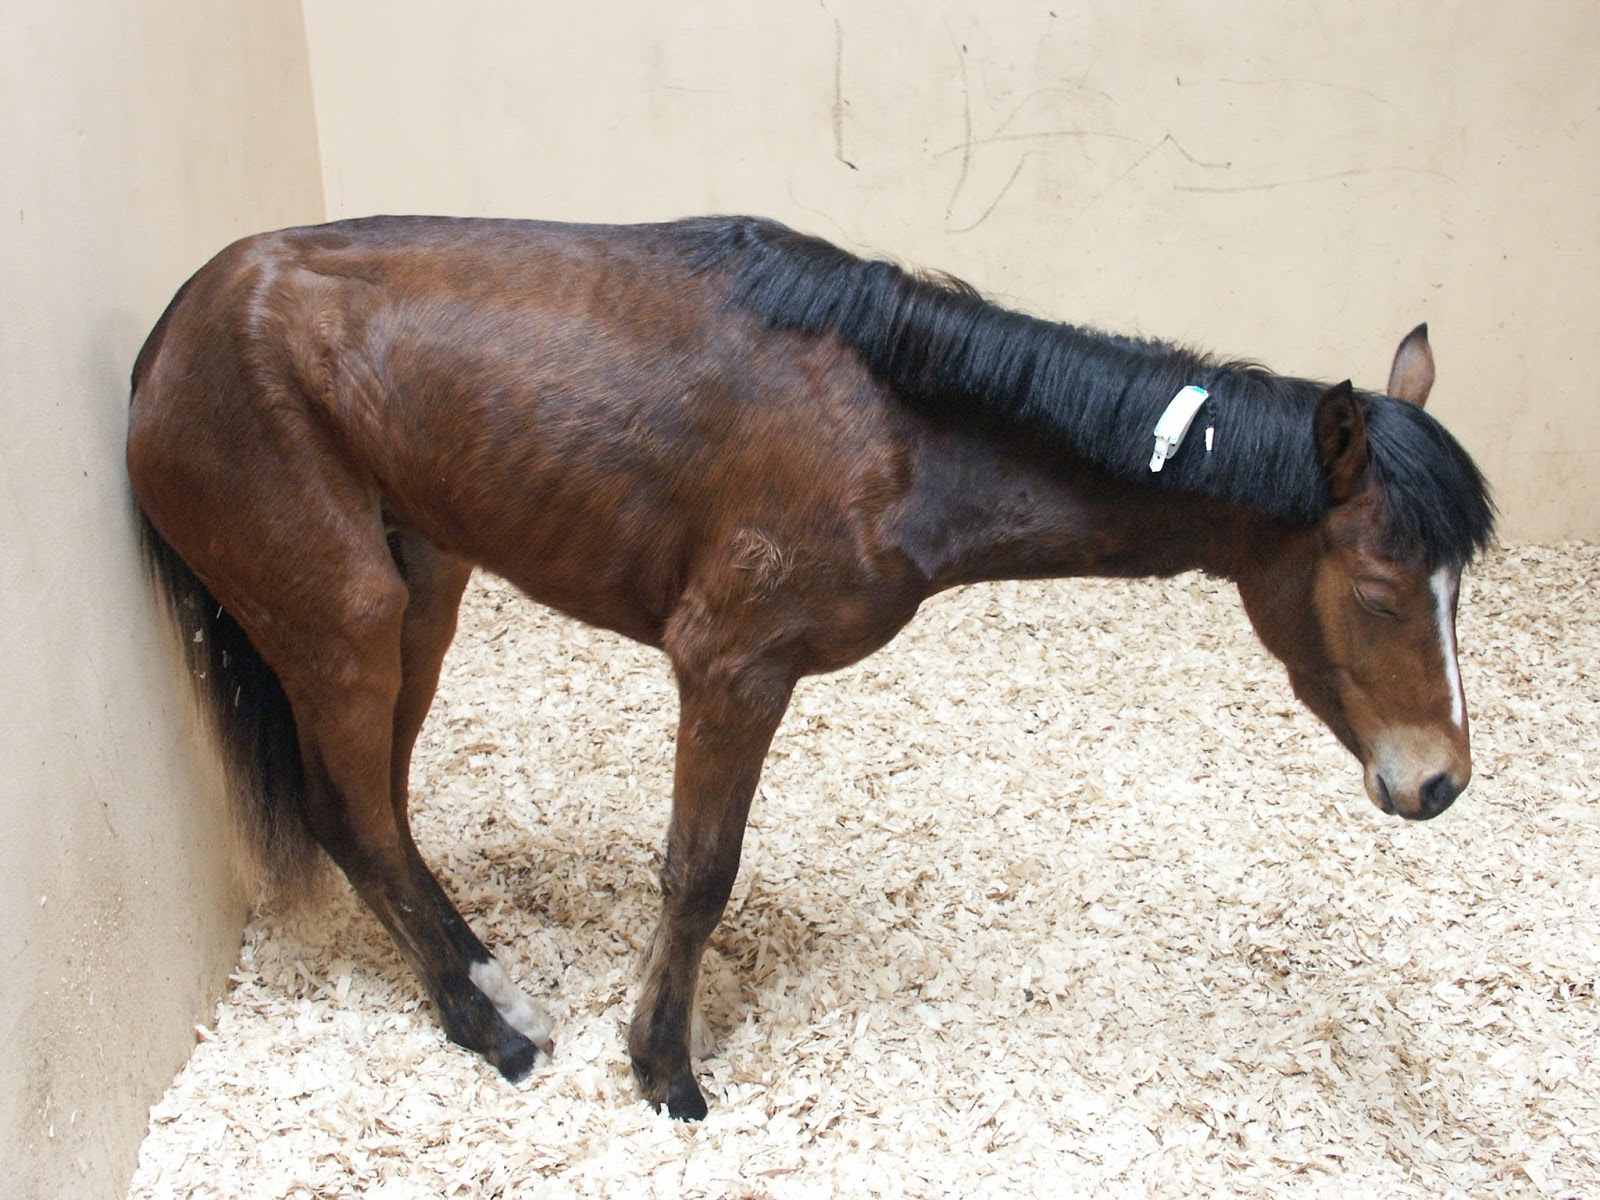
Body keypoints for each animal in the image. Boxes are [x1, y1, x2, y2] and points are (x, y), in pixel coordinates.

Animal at [126, 214, 1494, 1120]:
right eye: (1380, 591)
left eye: (1456, 587)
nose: (1436, 781)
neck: (895, 425)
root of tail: (171, 336)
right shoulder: (731, 667)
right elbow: (697, 873)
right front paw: (664, 1067)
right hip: (344, 620)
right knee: (351, 812)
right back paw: (488, 1030)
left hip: (423, 596)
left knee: (382, 811)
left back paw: (481, 976)